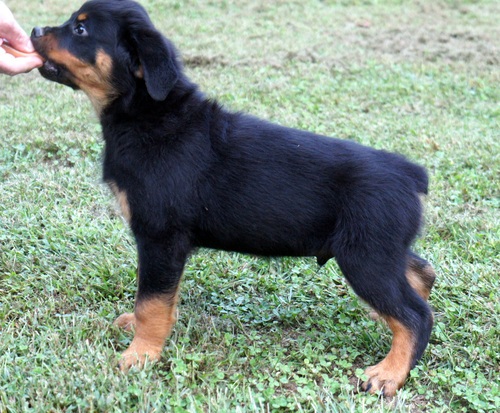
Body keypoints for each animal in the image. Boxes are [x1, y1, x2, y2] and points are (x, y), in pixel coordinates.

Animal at [33, 0, 436, 394]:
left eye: (80, 29)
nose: (35, 30)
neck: (148, 113)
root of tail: (411, 174)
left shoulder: (159, 237)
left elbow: (151, 300)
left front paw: (140, 354)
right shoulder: (167, 247)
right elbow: (162, 297)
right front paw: (141, 329)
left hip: (364, 256)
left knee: (416, 315)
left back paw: (389, 373)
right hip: (380, 249)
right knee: (421, 274)